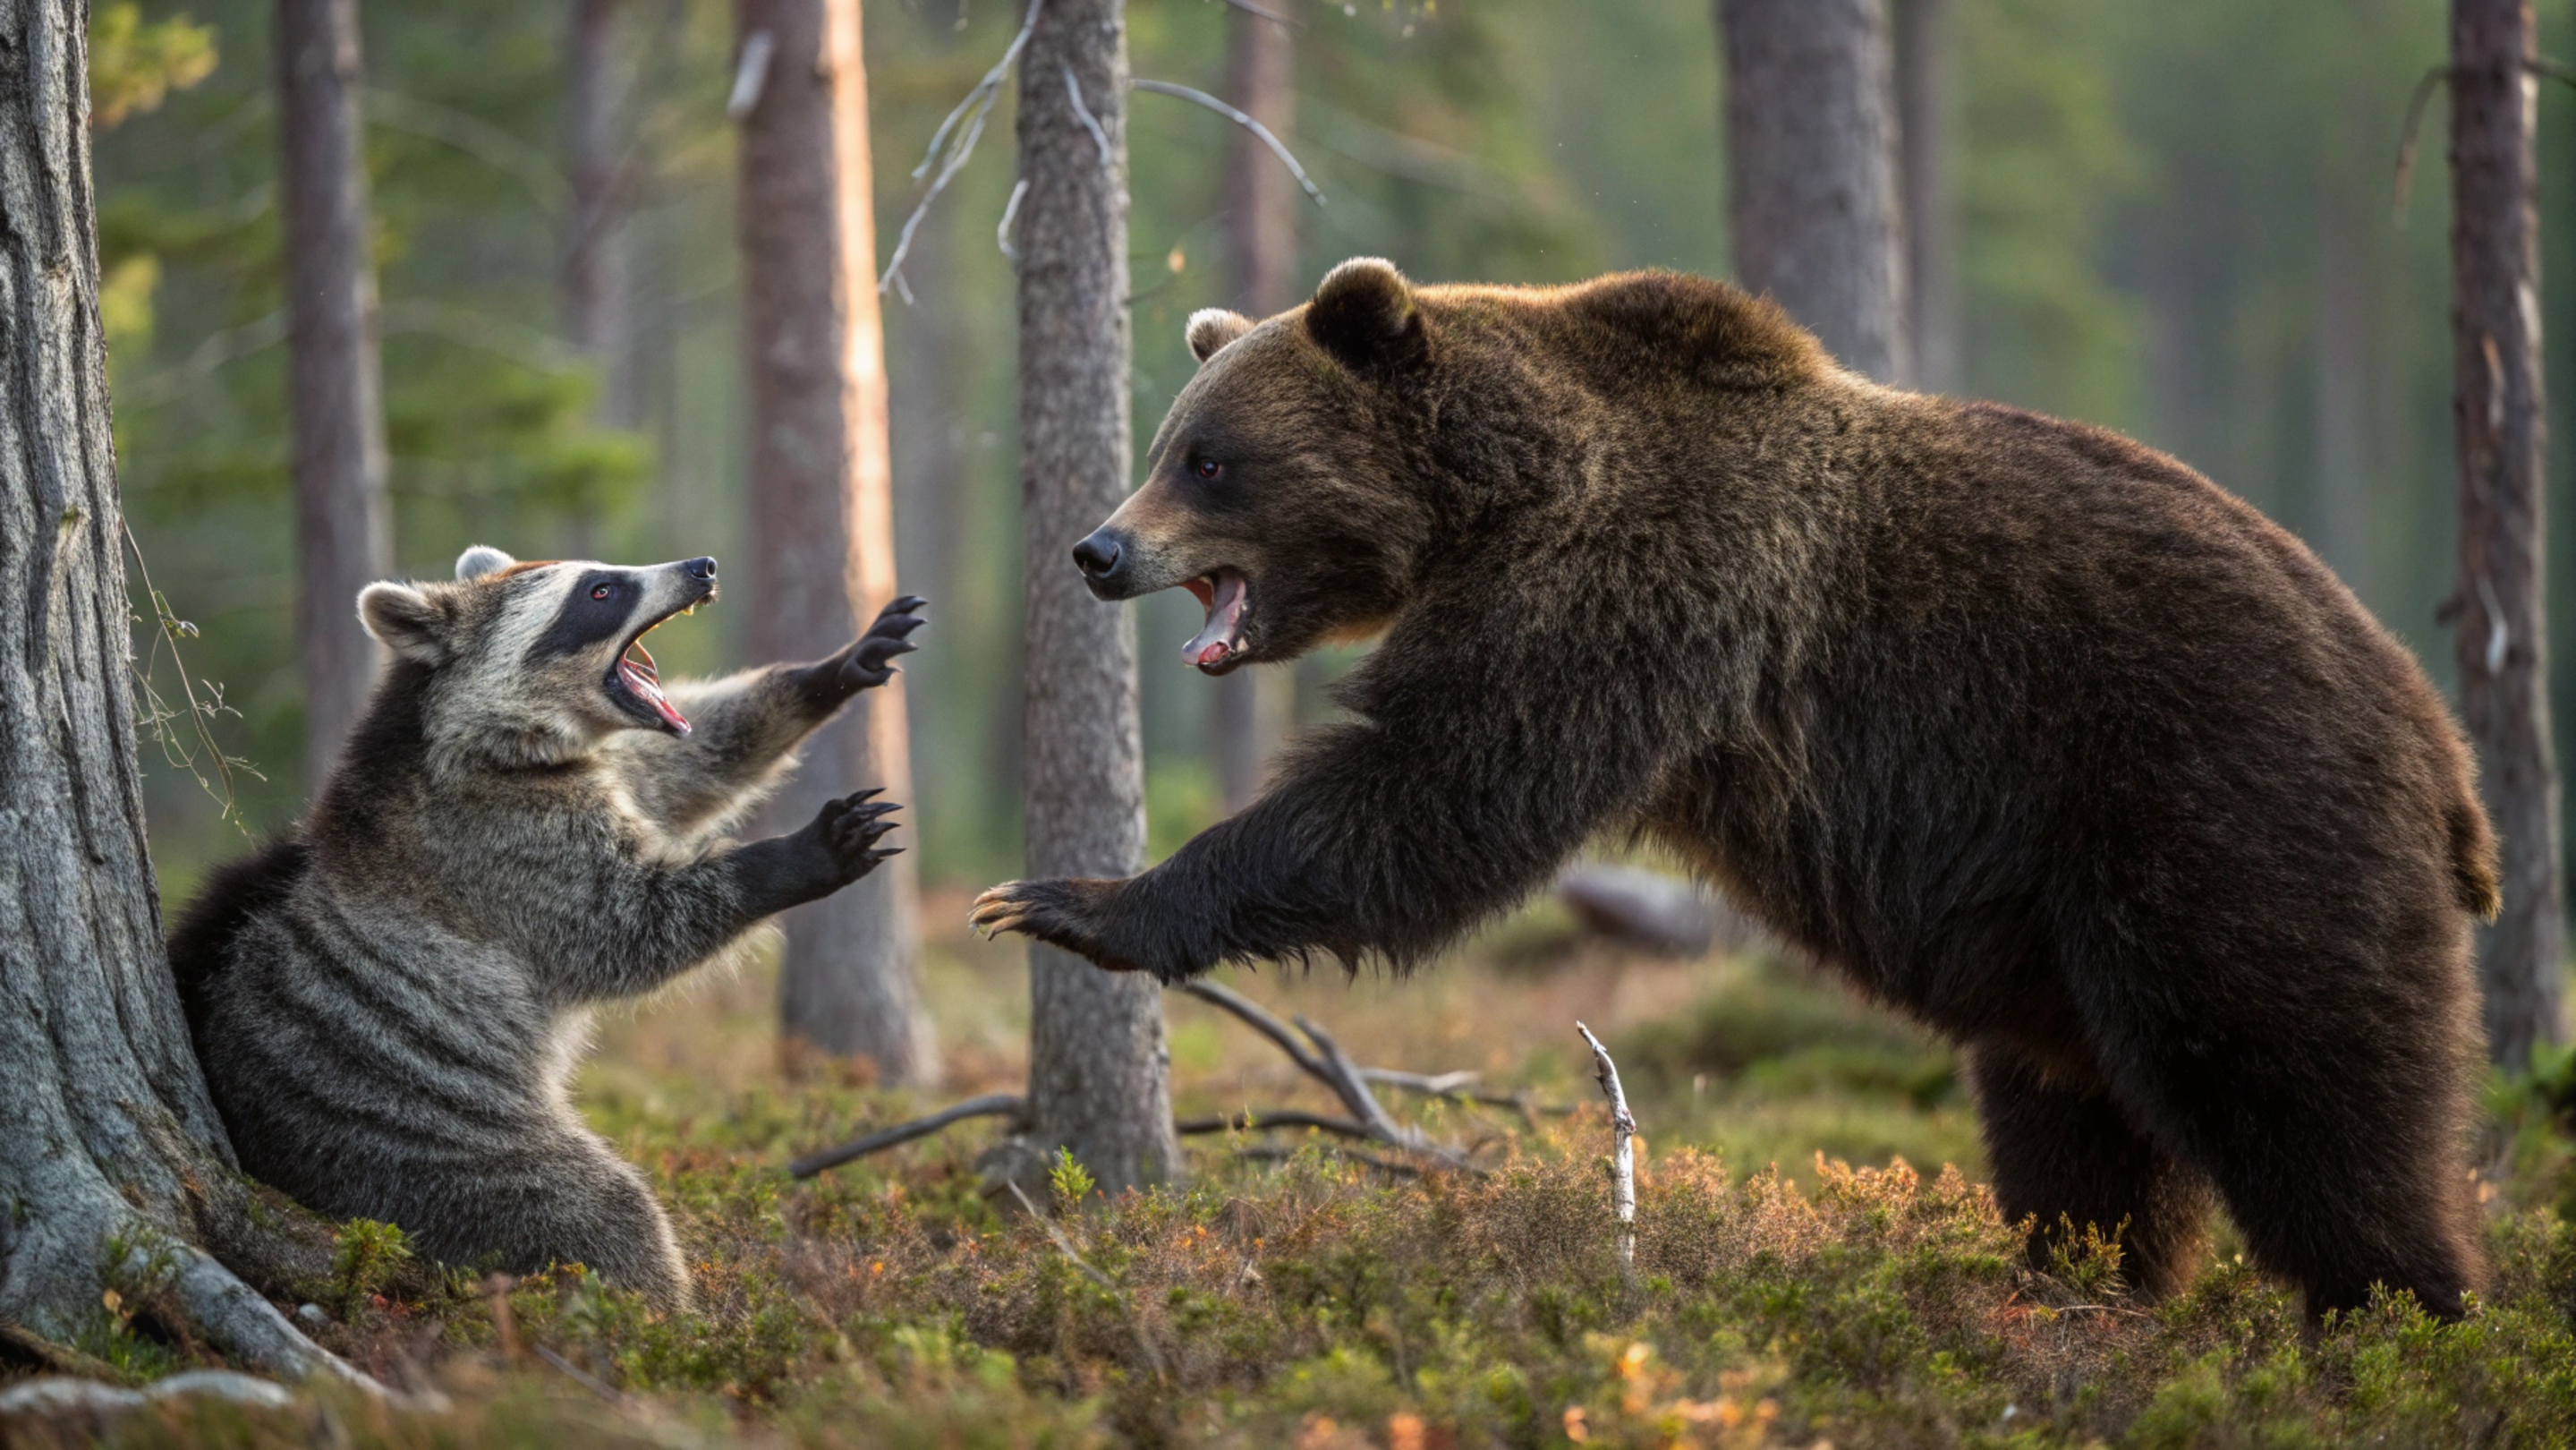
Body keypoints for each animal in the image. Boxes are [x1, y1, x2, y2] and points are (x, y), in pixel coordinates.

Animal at [172, 547, 923, 1310]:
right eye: (600, 590)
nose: (702, 567)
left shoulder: (604, 764)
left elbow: (695, 762)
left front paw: (831, 671)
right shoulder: (498, 848)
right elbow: (628, 927)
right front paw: (791, 857)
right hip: (412, 1143)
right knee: (599, 1212)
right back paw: (659, 1315)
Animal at [972, 258, 2498, 1320]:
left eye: (1207, 457)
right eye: (1167, 443)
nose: (1097, 549)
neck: (1492, 496)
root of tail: (2440, 746)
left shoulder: (1625, 588)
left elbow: (1428, 789)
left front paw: (1074, 897)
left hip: (2218, 810)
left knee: (2296, 1086)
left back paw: (2396, 1317)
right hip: (2068, 925)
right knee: (2076, 1121)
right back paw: (2070, 1288)